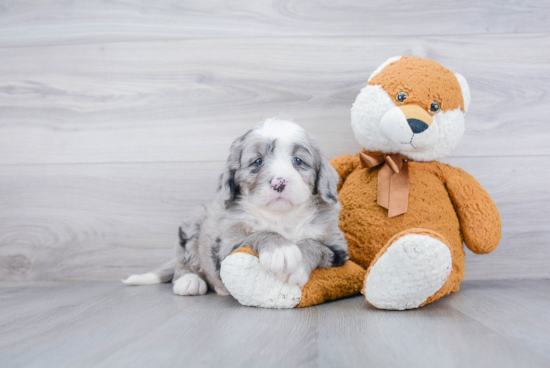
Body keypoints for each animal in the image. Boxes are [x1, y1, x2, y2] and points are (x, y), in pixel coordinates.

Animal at [124, 118, 350, 296]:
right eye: (257, 162)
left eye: (298, 160)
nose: (279, 182)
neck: (281, 216)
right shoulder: (228, 245)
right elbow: (258, 234)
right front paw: (281, 250)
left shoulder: (337, 247)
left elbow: (315, 245)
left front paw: (296, 265)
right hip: (193, 224)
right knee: (184, 258)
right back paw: (189, 281)